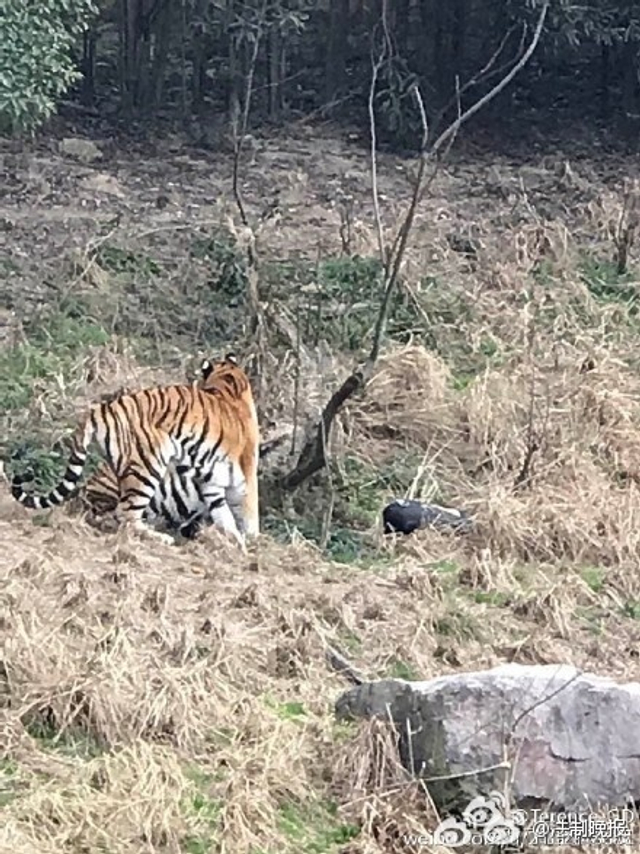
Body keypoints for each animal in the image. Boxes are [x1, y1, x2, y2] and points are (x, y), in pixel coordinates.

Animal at [10, 353, 259, 549]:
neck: (229, 384)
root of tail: (102, 409)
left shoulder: (211, 483)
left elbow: (223, 515)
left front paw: (236, 543)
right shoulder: (246, 472)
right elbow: (248, 511)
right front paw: (252, 542)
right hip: (147, 467)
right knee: (125, 513)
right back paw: (160, 538)